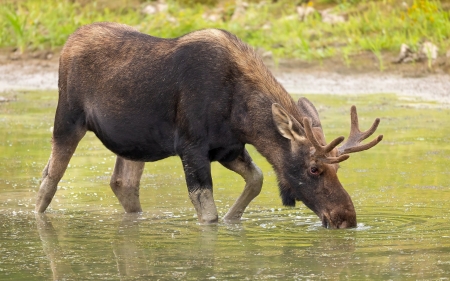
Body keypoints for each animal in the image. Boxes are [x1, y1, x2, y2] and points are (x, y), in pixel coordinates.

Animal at [34, 21, 384, 228]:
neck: (241, 116)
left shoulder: (228, 148)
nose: (347, 217)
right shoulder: (191, 146)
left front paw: (233, 221)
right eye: (314, 169)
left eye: (339, 168)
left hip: (134, 144)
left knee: (122, 183)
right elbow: (207, 210)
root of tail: (68, 41)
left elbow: (256, 180)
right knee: (49, 179)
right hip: (67, 118)